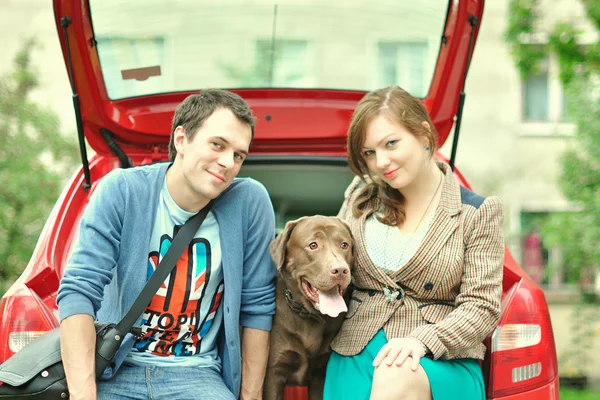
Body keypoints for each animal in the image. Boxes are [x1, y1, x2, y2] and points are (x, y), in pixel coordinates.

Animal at [264, 216, 354, 400]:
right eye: (313, 245)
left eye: (344, 245)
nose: (340, 270)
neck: (309, 315)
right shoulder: (274, 372)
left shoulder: (321, 372)